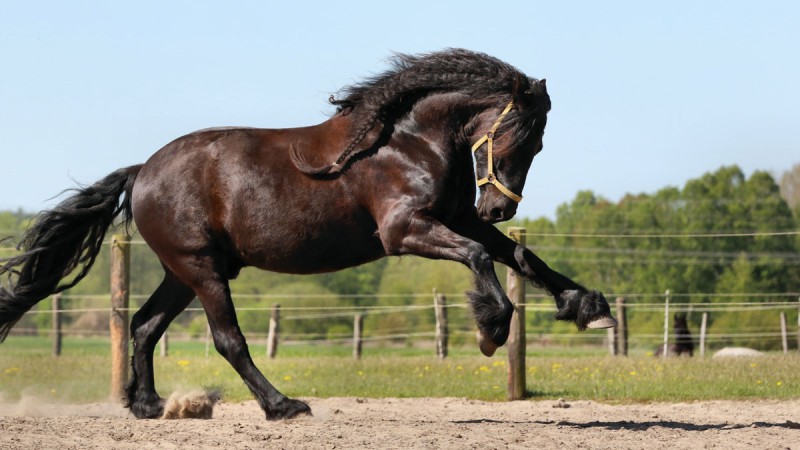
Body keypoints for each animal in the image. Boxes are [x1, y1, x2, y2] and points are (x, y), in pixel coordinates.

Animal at [0, 49, 615, 420]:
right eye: (521, 137)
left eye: (538, 143)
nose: (499, 208)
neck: (406, 141)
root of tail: (142, 172)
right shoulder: (406, 230)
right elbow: (480, 259)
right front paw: (491, 330)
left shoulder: (458, 220)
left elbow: (524, 258)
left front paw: (588, 307)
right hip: (201, 268)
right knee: (227, 339)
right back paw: (281, 405)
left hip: (185, 271)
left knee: (145, 325)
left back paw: (151, 405)